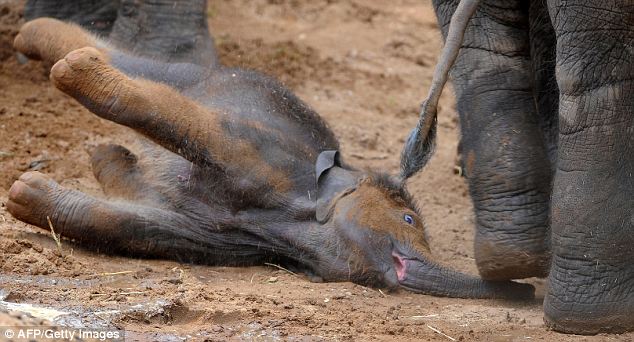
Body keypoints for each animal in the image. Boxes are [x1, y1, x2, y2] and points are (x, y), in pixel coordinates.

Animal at [8, 18, 532, 300]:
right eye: (407, 219)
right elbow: (198, 130)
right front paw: (73, 71)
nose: (527, 291)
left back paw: (105, 153)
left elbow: (134, 225)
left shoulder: (219, 235)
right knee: (153, 73)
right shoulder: (258, 154)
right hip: (207, 80)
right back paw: (46, 46)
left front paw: (22, 195)